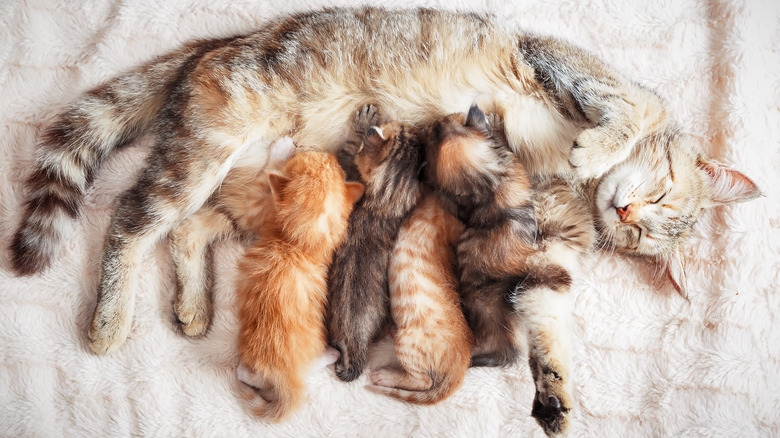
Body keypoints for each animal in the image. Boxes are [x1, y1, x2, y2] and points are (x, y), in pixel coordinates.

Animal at [233, 151, 364, 420]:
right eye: (335, 166)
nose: (327, 153)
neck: (299, 243)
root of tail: (284, 376)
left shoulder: (257, 210)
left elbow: (264, 177)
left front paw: (280, 147)